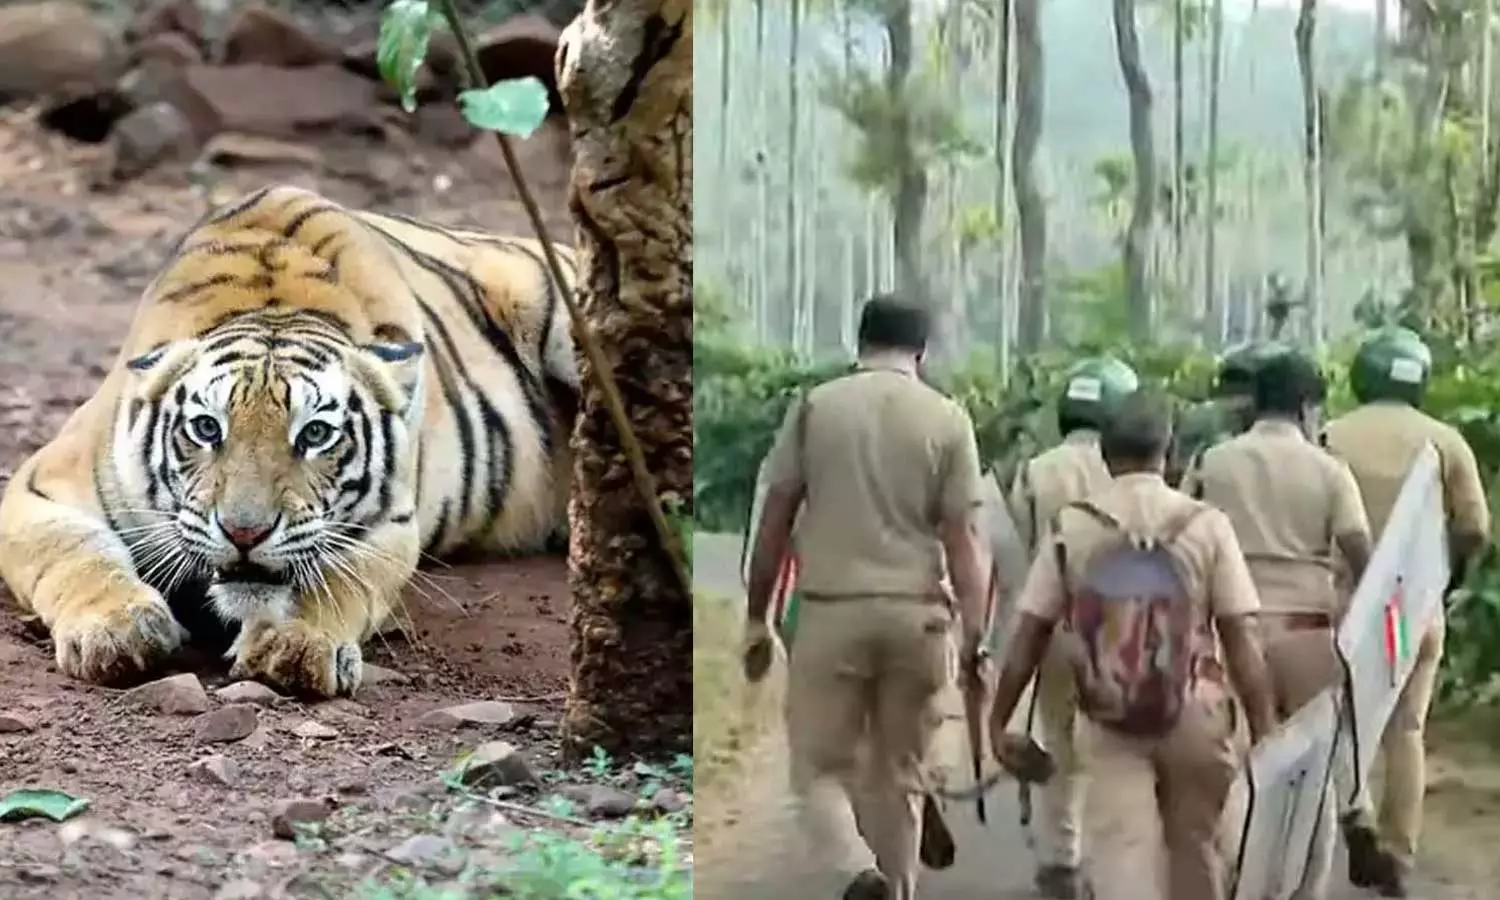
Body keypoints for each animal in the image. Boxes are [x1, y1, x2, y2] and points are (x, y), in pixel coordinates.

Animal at [0, 185, 579, 698]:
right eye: (207, 427)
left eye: (315, 433)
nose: (244, 533)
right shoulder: (39, 487)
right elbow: (74, 553)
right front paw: (117, 629)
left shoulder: (388, 521)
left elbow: (338, 577)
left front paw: (295, 645)